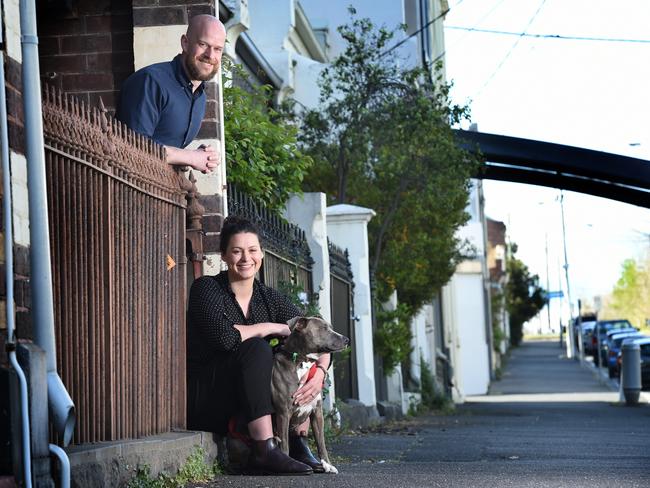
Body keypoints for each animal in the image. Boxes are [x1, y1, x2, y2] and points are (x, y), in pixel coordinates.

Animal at [270, 316, 350, 472]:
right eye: (324, 329)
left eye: (331, 327)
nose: (347, 339)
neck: (303, 361)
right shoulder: (283, 413)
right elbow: (284, 445)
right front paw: (286, 463)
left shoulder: (316, 412)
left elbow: (321, 442)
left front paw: (327, 465)